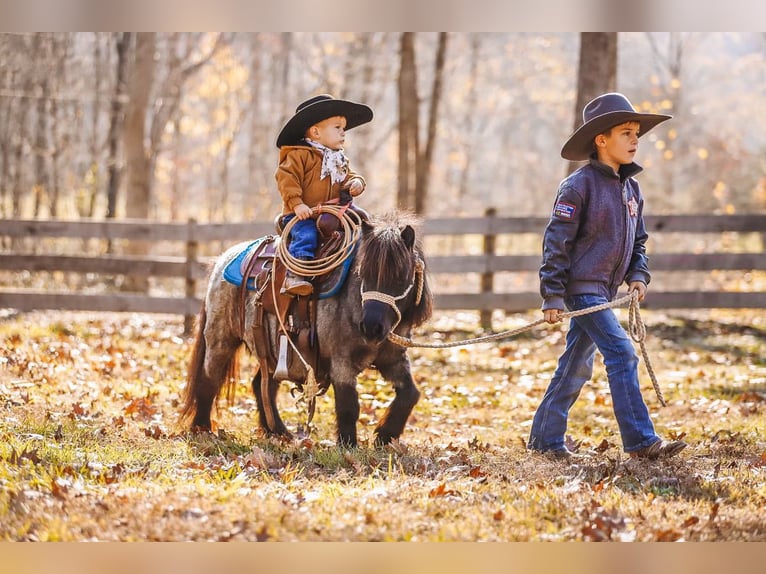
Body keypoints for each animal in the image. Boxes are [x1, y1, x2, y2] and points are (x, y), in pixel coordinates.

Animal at [179, 212, 432, 450]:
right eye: (362, 273)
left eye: (401, 277)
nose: (371, 327)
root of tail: (224, 258)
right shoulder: (342, 361)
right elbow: (348, 405)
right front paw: (348, 445)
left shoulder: (393, 359)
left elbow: (411, 394)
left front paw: (385, 436)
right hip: (220, 339)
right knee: (209, 379)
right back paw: (202, 428)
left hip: (272, 353)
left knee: (263, 386)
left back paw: (278, 431)